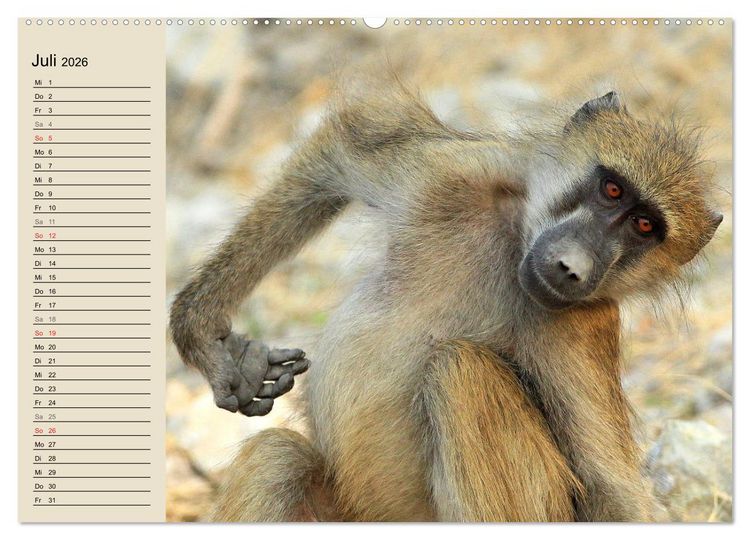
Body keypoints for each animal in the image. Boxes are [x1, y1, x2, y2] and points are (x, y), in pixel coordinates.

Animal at [170, 83, 723, 522]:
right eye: (612, 190)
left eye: (645, 227)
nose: (573, 267)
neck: (514, 240)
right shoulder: (450, 172)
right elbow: (342, 148)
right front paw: (212, 342)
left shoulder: (581, 329)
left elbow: (610, 488)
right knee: (277, 459)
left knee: (461, 370)